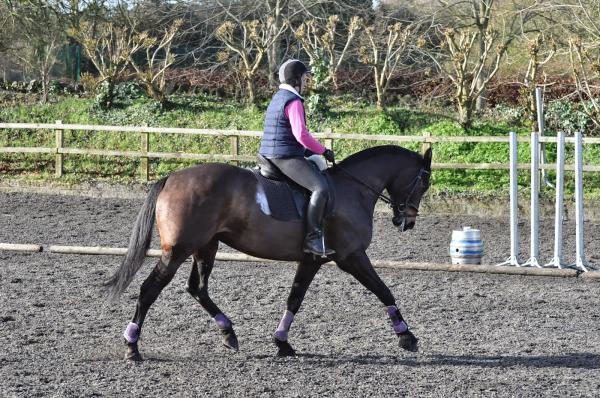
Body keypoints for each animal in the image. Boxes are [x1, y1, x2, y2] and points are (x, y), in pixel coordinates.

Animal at [106, 145, 432, 360]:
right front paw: (407, 336)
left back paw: (229, 333)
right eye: (425, 181)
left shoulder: (312, 260)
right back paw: (132, 346)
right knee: (150, 289)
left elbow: (295, 298)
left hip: (206, 246)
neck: (352, 190)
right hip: (177, 250)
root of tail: (171, 178)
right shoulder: (351, 257)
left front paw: (282, 342)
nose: (407, 221)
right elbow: (383, 290)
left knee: (197, 288)